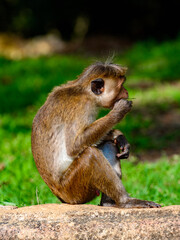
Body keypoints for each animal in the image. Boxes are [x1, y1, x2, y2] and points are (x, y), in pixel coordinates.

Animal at [31, 61, 161, 208]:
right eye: (121, 86)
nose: (127, 92)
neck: (85, 93)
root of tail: (62, 198)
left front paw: (118, 136)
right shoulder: (81, 107)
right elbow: (74, 146)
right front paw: (118, 113)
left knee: (107, 146)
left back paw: (108, 202)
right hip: (72, 191)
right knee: (90, 155)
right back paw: (125, 201)